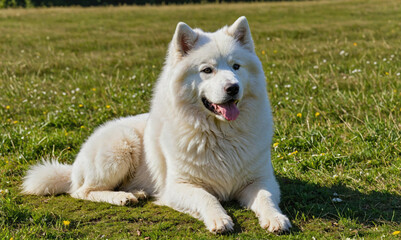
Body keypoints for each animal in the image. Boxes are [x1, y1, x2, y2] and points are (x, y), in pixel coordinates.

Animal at [21, 16, 290, 232]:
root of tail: (75, 166)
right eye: (207, 70)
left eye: (236, 66)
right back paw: (122, 198)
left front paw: (276, 219)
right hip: (121, 146)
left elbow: (265, 198)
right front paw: (219, 219)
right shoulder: (179, 186)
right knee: (81, 191)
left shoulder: (260, 180)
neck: (220, 134)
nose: (233, 88)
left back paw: (135, 192)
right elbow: (207, 198)